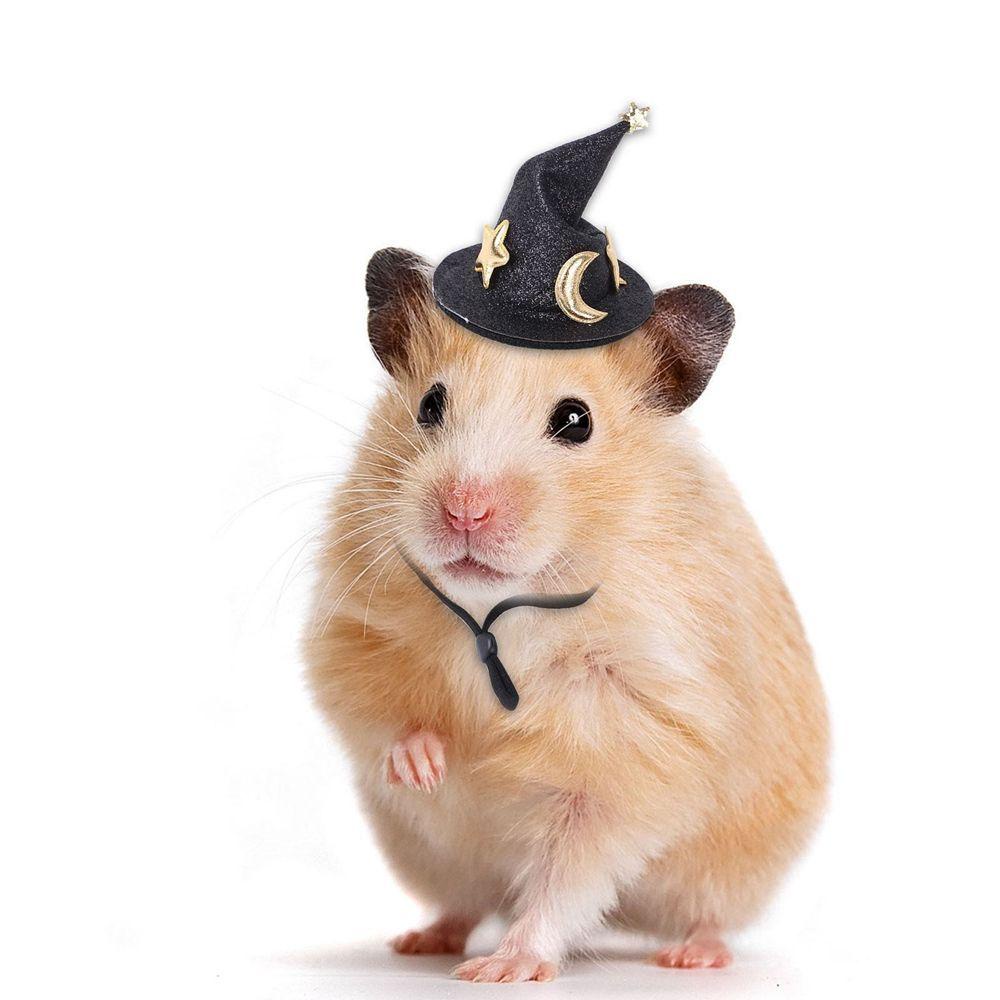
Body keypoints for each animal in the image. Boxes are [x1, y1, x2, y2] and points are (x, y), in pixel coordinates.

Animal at [303, 248, 828, 983]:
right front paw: (429, 766)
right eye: (430, 404)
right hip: (432, 857)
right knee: (466, 902)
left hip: (734, 865)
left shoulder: (632, 740)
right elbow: (378, 709)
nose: (465, 510)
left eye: (576, 420)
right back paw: (421, 940)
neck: (498, 612)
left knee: (703, 911)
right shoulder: (353, 625)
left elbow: (568, 869)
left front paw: (504, 970)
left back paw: (690, 956)